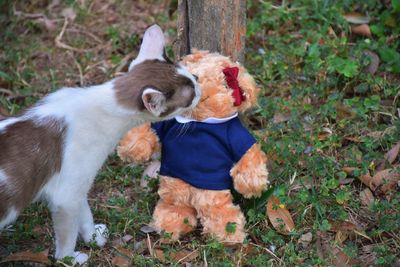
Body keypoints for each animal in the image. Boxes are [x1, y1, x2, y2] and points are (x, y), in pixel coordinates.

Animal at [0, 24, 200, 264]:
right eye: (190, 96)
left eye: (193, 77)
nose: (200, 87)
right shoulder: (67, 193)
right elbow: (67, 233)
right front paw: (69, 259)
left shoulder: (77, 186)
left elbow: (84, 211)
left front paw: (93, 236)